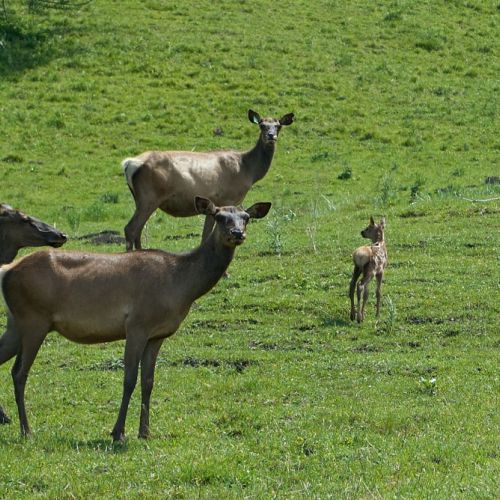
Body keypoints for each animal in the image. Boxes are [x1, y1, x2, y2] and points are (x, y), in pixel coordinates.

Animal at [0, 197, 270, 440]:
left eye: (246, 217)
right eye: (220, 216)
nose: (237, 233)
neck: (182, 286)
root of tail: (8, 270)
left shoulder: (157, 335)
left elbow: (148, 381)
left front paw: (145, 432)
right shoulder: (137, 324)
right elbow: (129, 379)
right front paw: (118, 432)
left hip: (16, 324)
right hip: (34, 319)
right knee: (19, 373)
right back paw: (27, 431)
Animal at [121, 108, 292, 252]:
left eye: (278, 126)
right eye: (262, 125)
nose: (271, 136)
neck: (249, 171)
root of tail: (129, 163)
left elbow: (205, 235)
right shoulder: (228, 198)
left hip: (140, 199)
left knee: (138, 230)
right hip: (149, 196)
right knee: (131, 228)